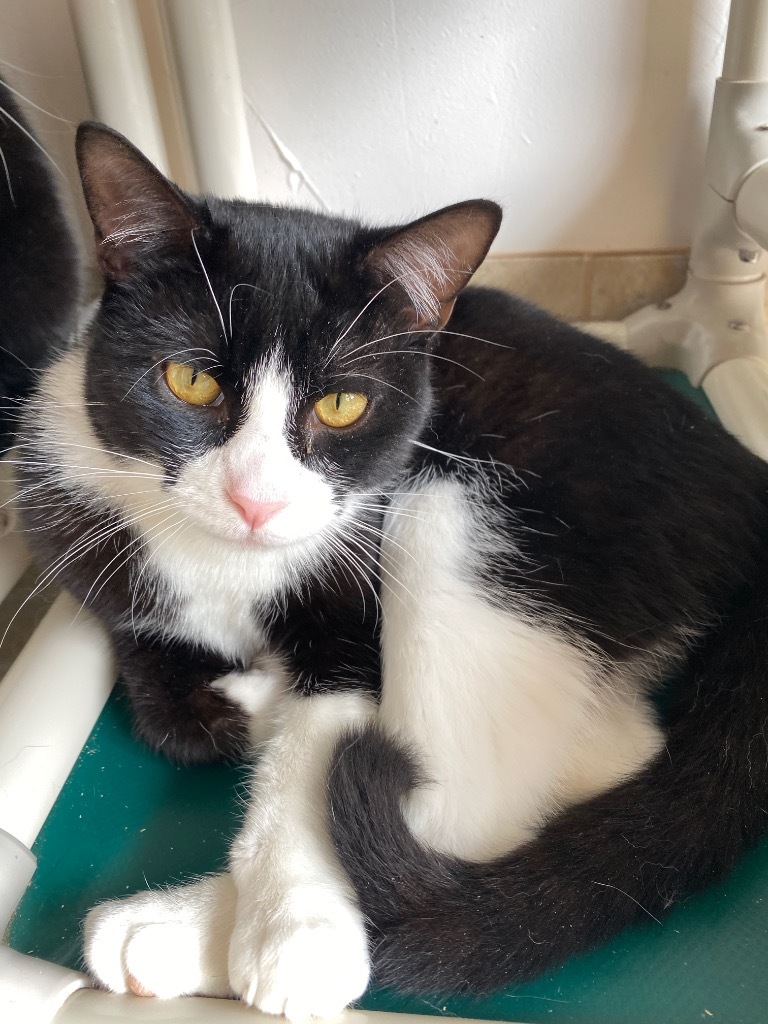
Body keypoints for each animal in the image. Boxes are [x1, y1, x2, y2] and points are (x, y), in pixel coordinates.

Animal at [10, 117, 768, 1015]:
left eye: (343, 404)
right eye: (189, 379)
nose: (256, 501)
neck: (230, 569)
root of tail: (746, 478)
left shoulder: (355, 589)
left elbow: (325, 734)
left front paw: (296, 933)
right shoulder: (84, 537)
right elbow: (168, 710)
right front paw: (227, 703)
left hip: (459, 515)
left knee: (471, 800)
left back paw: (170, 927)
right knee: (617, 748)